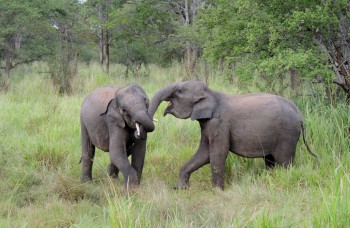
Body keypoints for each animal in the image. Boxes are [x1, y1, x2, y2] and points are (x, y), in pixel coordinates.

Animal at [148, 81, 318, 190]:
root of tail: (299, 114)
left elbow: (217, 153)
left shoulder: (220, 124)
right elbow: (204, 153)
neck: (211, 93)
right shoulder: (208, 124)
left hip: (287, 134)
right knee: (270, 160)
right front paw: (180, 188)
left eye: (179, 91)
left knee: (284, 161)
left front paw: (217, 191)